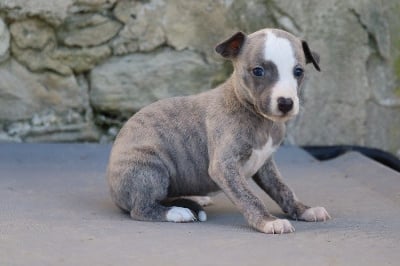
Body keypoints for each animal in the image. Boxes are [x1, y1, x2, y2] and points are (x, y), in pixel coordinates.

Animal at [108, 28, 330, 234]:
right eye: (258, 71)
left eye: (298, 71)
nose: (285, 103)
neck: (256, 116)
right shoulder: (224, 167)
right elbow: (250, 197)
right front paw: (268, 221)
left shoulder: (265, 164)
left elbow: (283, 189)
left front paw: (304, 209)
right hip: (149, 168)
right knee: (141, 208)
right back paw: (176, 212)